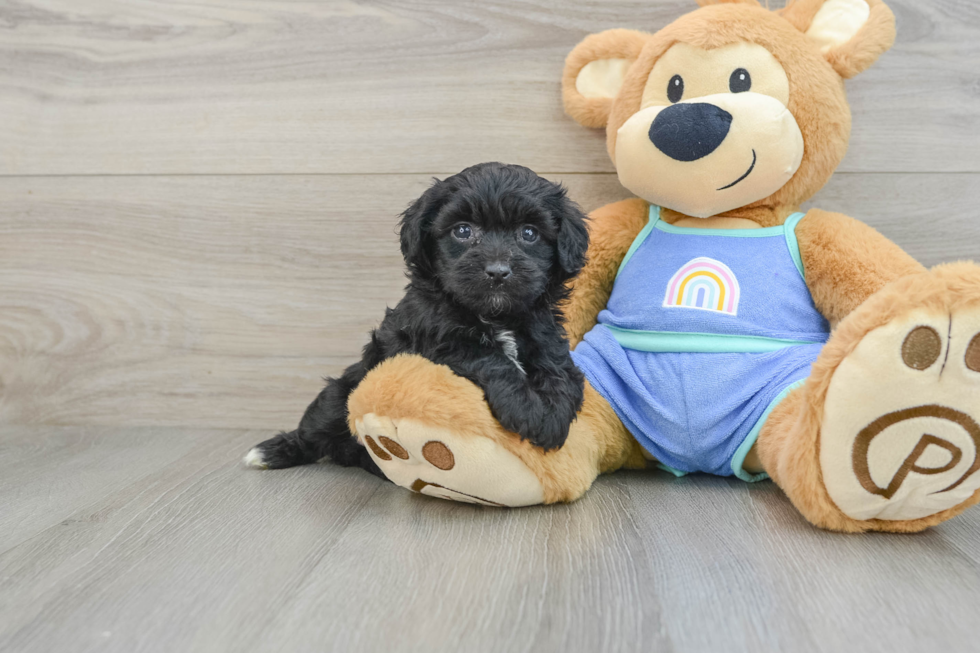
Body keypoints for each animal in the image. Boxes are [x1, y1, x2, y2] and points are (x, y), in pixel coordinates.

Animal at [245, 162, 588, 478]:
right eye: (463, 230)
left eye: (529, 233)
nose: (498, 271)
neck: (495, 315)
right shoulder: (438, 338)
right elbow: (491, 358)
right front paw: (528, 409)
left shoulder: (543, 330)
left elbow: (559, 368)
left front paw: (554, 413)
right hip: (340, 396)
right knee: (315, 429)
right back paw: (272, 451)